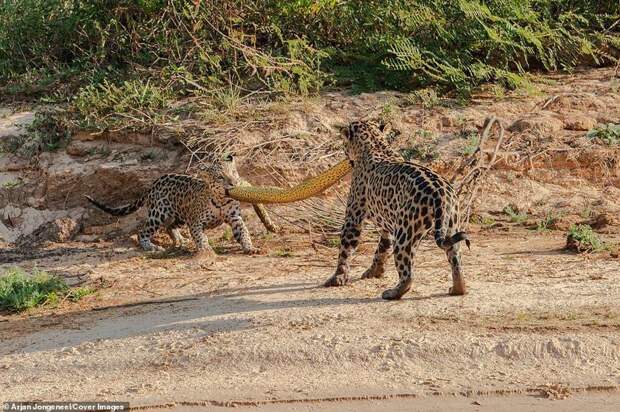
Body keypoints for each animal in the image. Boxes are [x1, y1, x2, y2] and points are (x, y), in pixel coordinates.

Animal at [83, 154, 278, 256]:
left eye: (234, 173)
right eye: (220, 177)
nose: (234, 183)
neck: (221, 200)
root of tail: (153, 184)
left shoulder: (234, 217)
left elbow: (243, 232)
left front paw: (250, 247)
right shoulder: (195, 221)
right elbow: (200, 237)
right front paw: (206, 249)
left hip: (178, 215)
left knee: (170, 227)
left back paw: (180, 240)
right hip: (158, 213)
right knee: (143, 232)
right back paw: (151, 246)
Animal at [324, 119, 470, 300]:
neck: (374, 143)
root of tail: (439, 194)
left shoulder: (353, 217)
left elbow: (345, 249)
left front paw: (337, 277)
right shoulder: (387, 227)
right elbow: (382, 249)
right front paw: (374, 271)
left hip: (406, 233)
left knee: (408, 274)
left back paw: (392, 292)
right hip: (451, 227)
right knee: (456, 261)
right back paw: (457, 288)